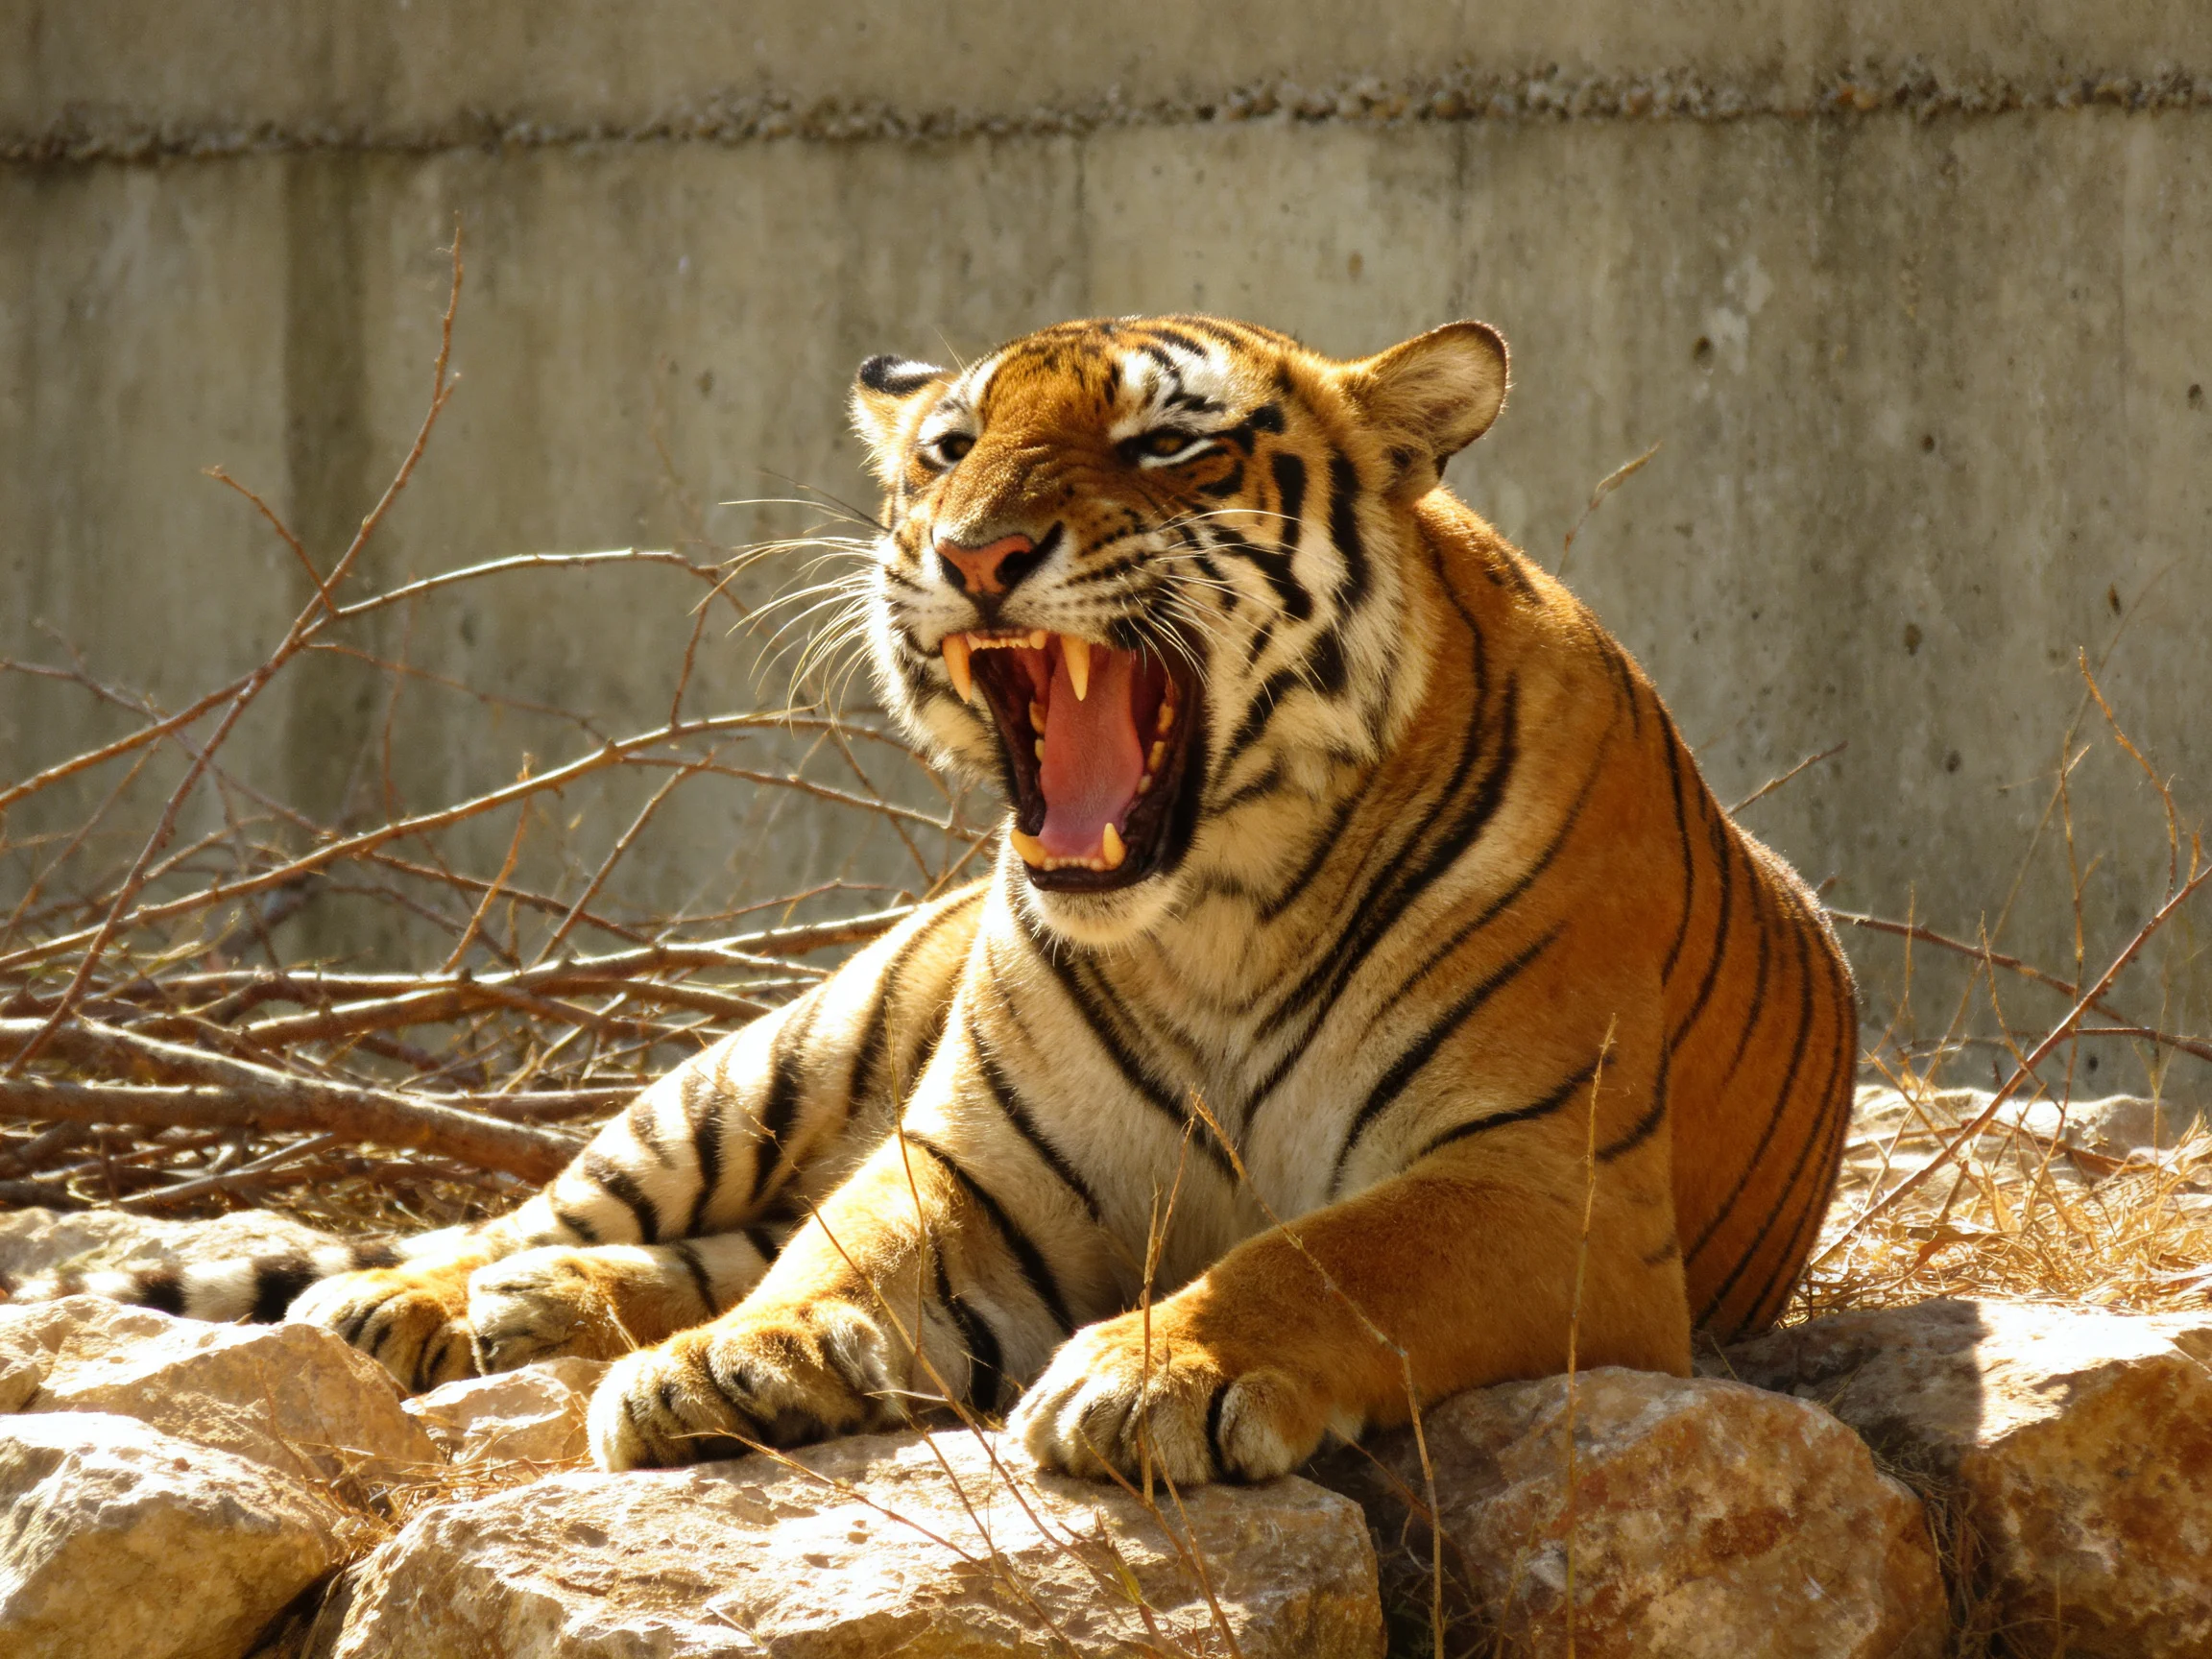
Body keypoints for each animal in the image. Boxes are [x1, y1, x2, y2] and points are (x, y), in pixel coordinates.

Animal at [11, 314, 1857, 1486]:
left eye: (1167, 444)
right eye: (948, 447)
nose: (969, 553)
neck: (1218, 910)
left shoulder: (1545, 1181)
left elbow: (1334, 1254)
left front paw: (1149, 1375)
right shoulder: (970, 1160)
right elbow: (852, 1247)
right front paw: (739, 1363)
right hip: (764, 1065)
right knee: (544, 1217)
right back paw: (425, 1301)